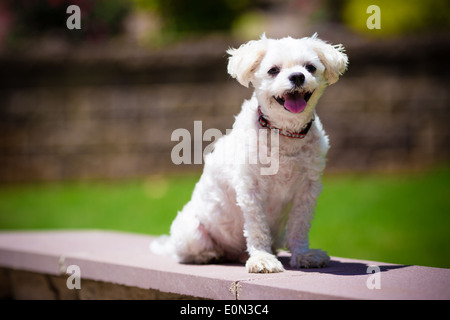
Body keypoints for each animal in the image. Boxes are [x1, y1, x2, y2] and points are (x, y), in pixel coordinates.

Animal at [151, 34, 348, 272]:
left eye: (310, 67)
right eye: (273, 70)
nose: (298, 76)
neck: (284, 132)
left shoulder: (308, 189)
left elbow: (300, 225)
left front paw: (303, 255)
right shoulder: (250, 188)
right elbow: (257, 227)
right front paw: (262, 258)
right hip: (192, 232)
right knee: (188, 252)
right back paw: (211, 254)